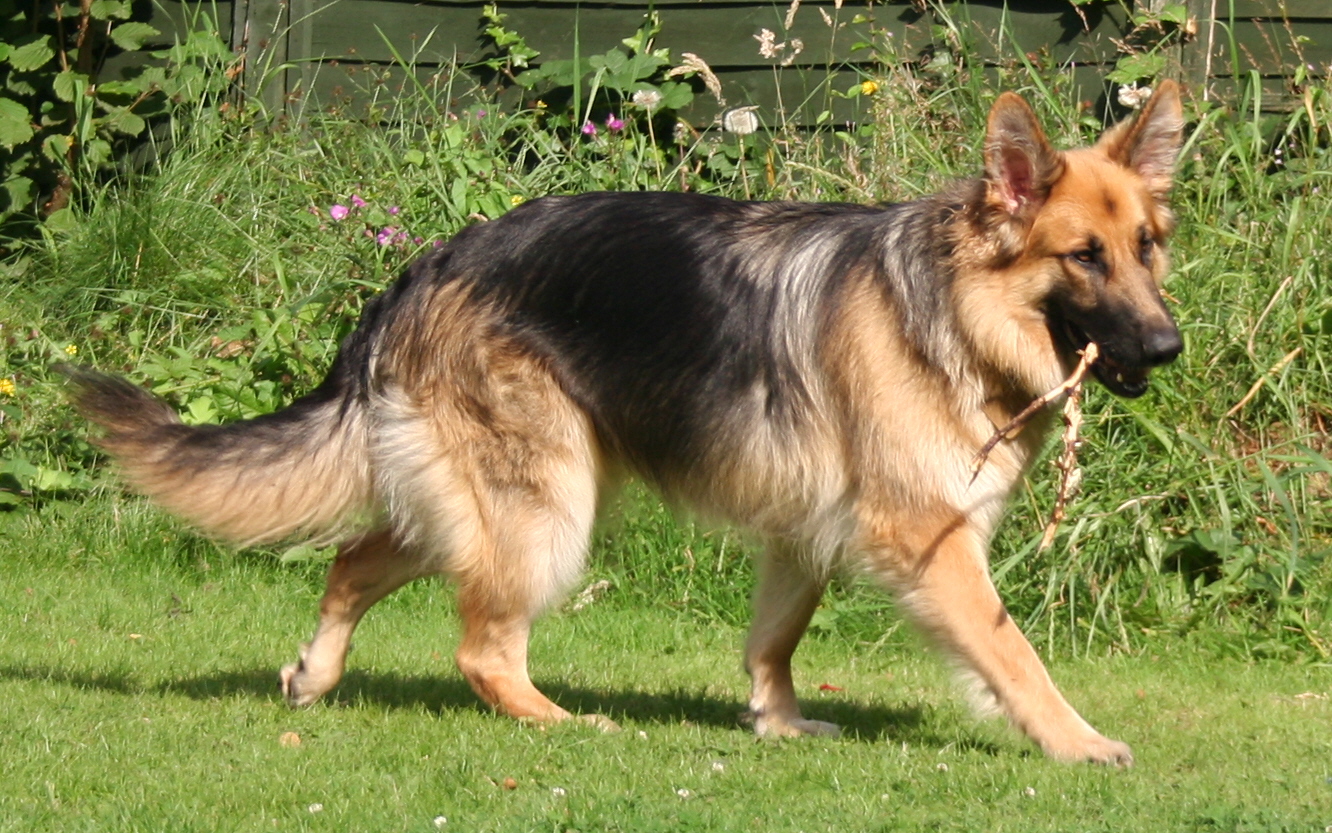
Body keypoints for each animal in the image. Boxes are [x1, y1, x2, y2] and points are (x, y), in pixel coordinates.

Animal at [67, 82, 1182, 762]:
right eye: (1084, 256)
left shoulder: (805, 528)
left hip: (493, 495)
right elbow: (1012, 651)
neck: (950, 305)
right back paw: (560, 719)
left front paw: (775, 720)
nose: (1170, 346)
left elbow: (776, 635)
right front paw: (1077, 740)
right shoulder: (928, 539)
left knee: (355, 557)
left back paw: (316, 673)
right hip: (547, 506)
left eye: (1148, 247)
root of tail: (429, 261)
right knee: (481, 648)